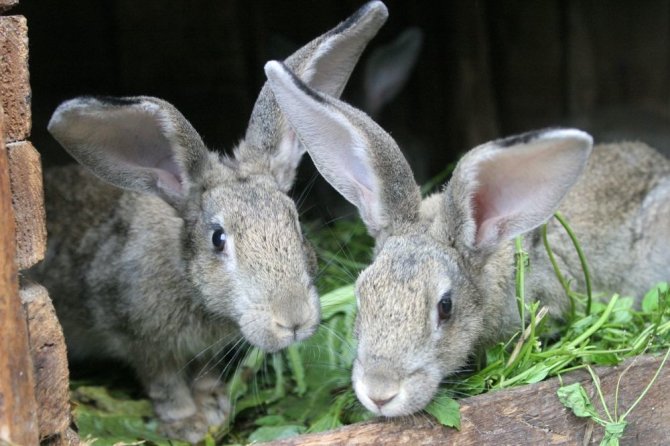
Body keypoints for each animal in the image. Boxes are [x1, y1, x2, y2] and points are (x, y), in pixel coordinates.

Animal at [36, 2, 392, 442]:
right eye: (218, 239)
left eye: (294, 223)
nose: (292, 320)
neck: (187, 280)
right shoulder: (142, 341)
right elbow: (165, 384)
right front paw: (188, 424)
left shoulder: (201, 351)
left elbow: (203, 373)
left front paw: (214, 406)